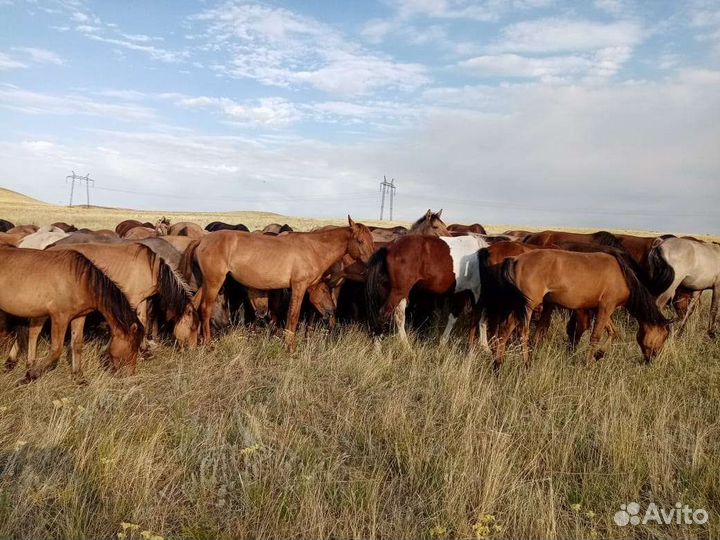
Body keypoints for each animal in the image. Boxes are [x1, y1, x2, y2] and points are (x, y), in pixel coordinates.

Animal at [0, 247, 143, 382]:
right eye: (133, 347)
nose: (129, 374)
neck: (81, 281)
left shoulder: (79, 317)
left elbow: (77, 345)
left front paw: (79, 376)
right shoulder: (60, 317)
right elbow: (56, 349)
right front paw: (30, 375)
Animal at [180, 217, 374, 348]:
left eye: (371, 241)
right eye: (360, 241)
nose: (332, 311)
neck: (313, 248)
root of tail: (202, 239)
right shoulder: (298, 287)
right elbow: (293, 316)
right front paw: (290, 348)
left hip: (206, 283)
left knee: (194, 305)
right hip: (214, 282)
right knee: (205, 309)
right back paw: (208, 343)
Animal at [478, 248, 670, 371]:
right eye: (663, 337)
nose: (651, 361)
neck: (622, 276)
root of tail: (516, 259)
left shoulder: (601, 308)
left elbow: (613, 332)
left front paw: (599, 355)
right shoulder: (606, 308)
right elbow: (595, 336)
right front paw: (588, 363)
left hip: (519, 308)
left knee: (505, 331)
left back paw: (498, 365)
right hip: (528, 306)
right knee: (522, 333)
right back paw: (525, 364)